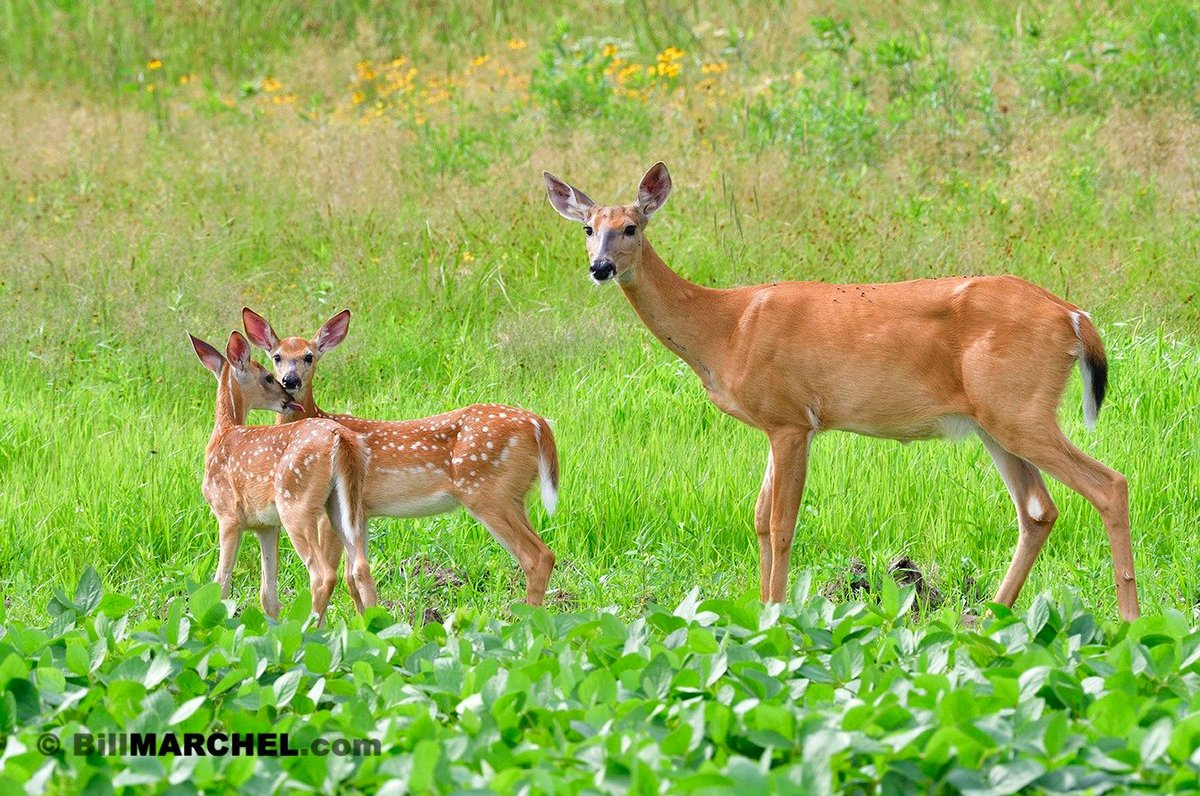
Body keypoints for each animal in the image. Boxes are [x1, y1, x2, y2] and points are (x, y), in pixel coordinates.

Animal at [188, 330, 378, 623]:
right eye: (269, 376)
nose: (287, 397)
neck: (223, 434)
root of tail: (340, 437)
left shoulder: (228, 514)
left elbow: (220, 583)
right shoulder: (265, 525)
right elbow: (268, 594)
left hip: (296, 505)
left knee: (323, 575)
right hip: (342, 507)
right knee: (361, 570)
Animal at [240, 307, 560, 608]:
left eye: (309, 357)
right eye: (277, 357)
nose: (290, 380)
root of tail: (538, 424)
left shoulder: (327, 514)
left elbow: (336, 573)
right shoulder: (362, 513)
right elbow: (354, 577)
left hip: (488, 492)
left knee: (537, 556)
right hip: (513, 495)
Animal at [543, 162, 1139, 621]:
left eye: (631, 227)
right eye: (588, 229)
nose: (600, 268)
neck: (724, 329)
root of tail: (1074, 316)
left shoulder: (790, 419)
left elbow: (781, 523)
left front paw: (777, 614)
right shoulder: (775, 424)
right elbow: (758, 518)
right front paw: (761, 610)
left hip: (1020, 408)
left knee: (1108, 483)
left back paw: (1129, 619)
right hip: (994, 420)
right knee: (1038, 510)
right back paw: (991, 617)